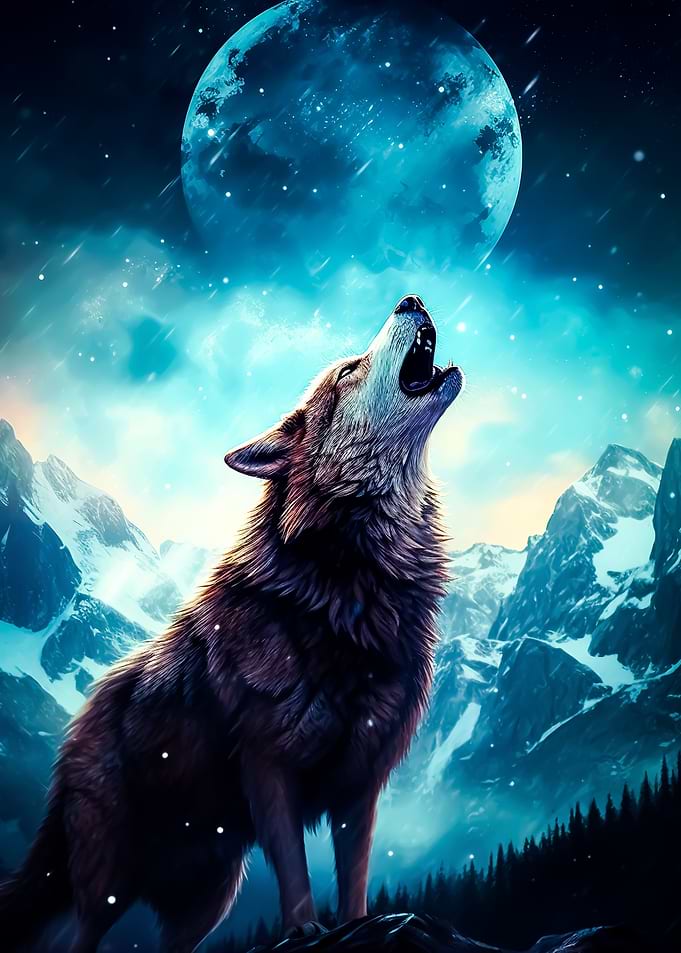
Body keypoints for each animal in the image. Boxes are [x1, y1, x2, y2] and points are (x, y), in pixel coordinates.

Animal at [0, 295, 463, 953]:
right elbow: (294, 871)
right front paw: (305, 931)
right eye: (349, 370)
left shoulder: (361, 781)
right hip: (111, 878)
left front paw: (359, 927)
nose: (411, 300)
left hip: (209, 898)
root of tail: (77, 726)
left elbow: (355, 878)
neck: (345, 582)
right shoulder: (268, 765)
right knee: (79, 936)